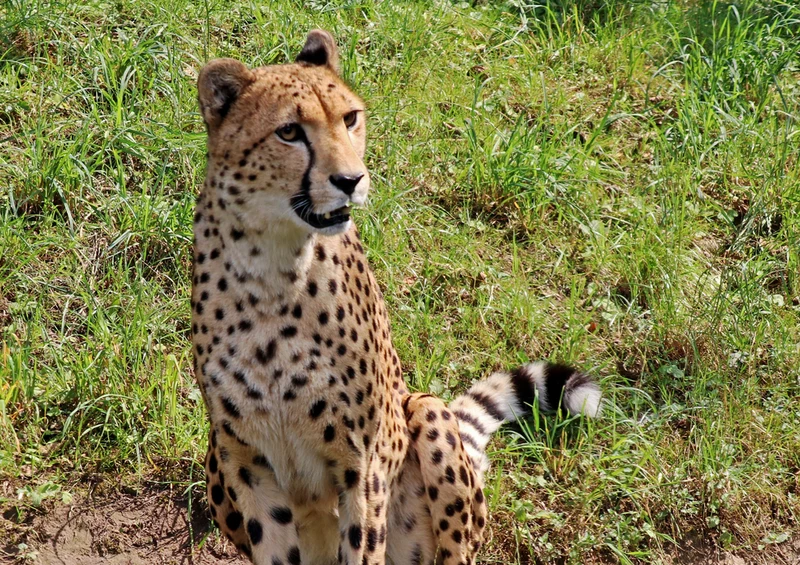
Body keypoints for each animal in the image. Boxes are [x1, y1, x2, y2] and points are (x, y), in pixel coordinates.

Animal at [191, 29, 602, 565]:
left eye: (349, 118)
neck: (273, 269)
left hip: (427, 416)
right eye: (289, 132)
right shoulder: (247, 463)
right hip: (215, 463)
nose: (350, 180)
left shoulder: (363, 463)